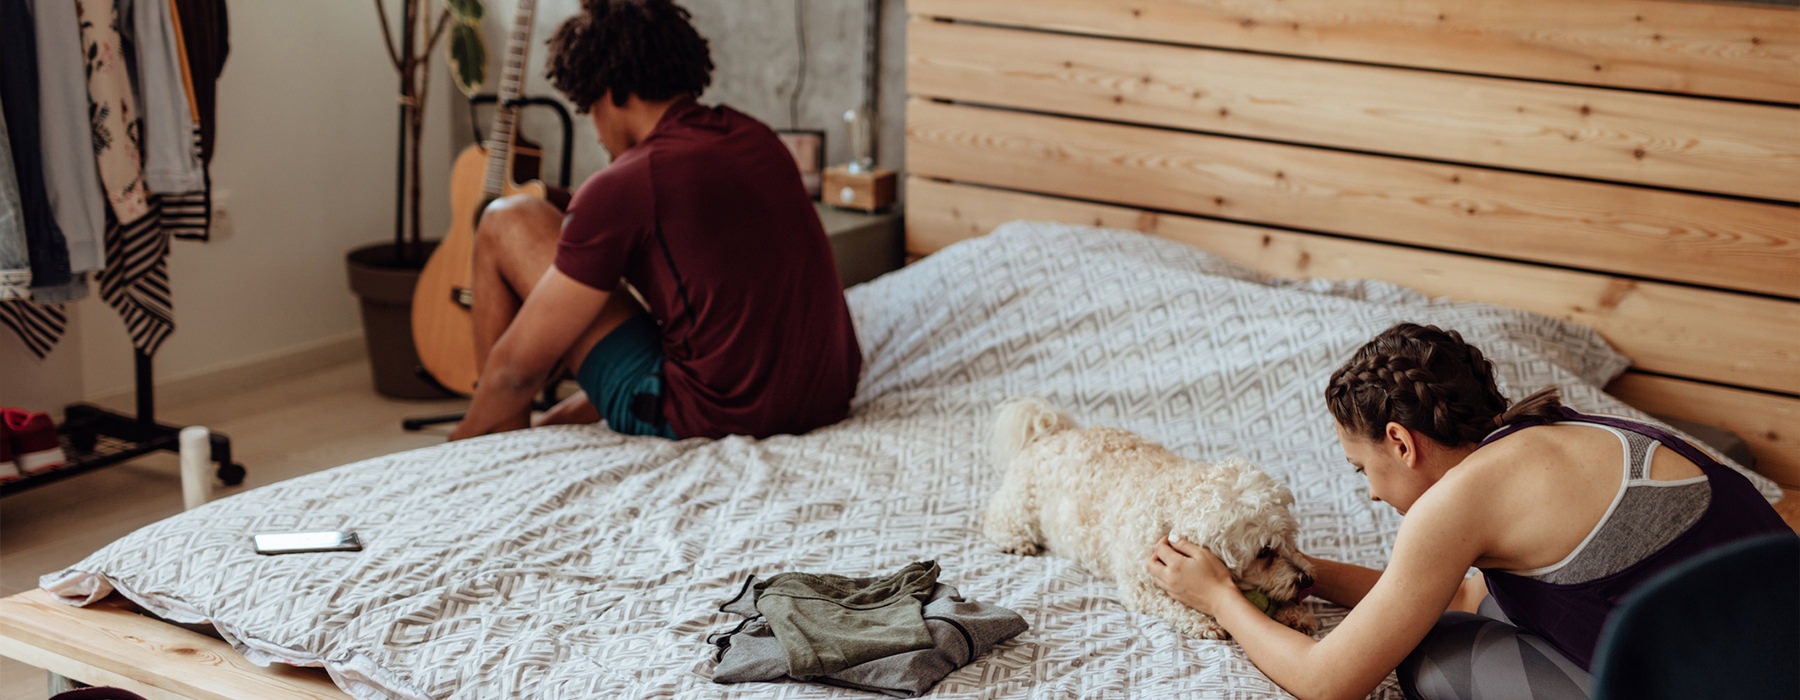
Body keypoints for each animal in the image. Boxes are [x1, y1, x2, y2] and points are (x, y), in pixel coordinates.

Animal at [993, 395, 1317, 637]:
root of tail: (1050, 433)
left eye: (1290, 539)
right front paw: (1203, 621)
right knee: (997, 517)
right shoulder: (1140, 586)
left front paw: (1296, 614)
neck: (1175, 501)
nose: (1306, 580)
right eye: (1264, 552)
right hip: (1021, 503)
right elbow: (1172, 604)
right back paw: (1015, 541)